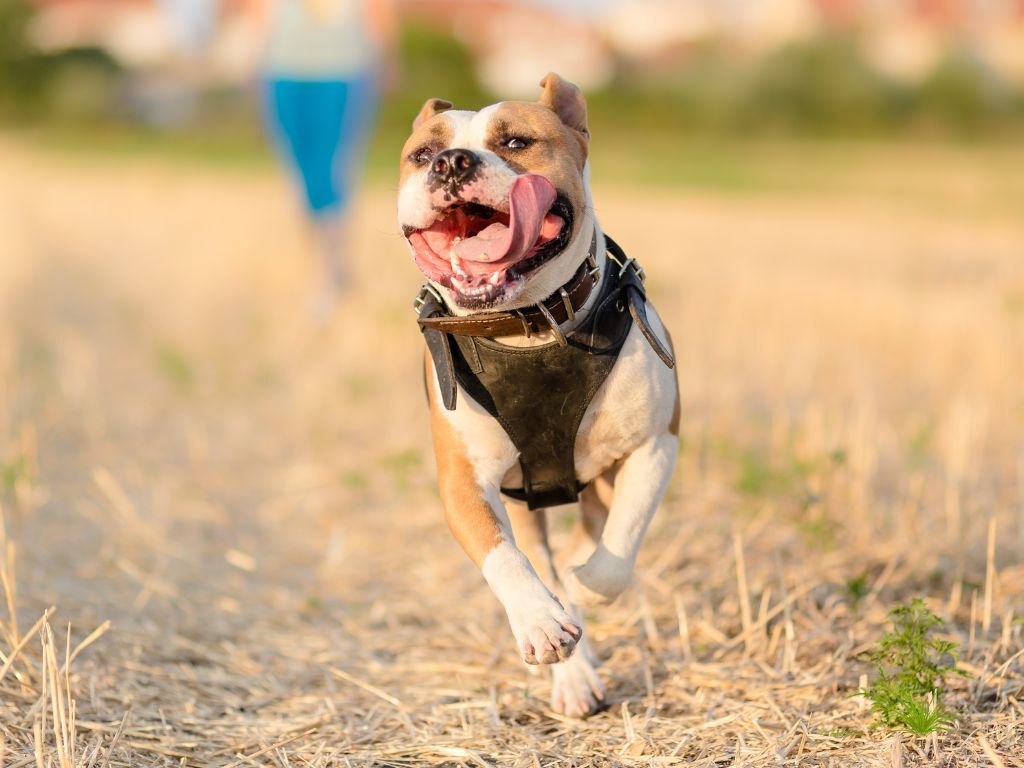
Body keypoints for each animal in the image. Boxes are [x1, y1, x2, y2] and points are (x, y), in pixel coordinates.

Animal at [399, 75, 679, 720]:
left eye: (517, 142)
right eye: (422, 155)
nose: (452, 162)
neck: (527, 326)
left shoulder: (655, 444)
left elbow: (620, 544)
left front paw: (587, 586)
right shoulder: (464, 479)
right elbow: (503, 554)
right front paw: (541, 622)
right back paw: (570, 669)